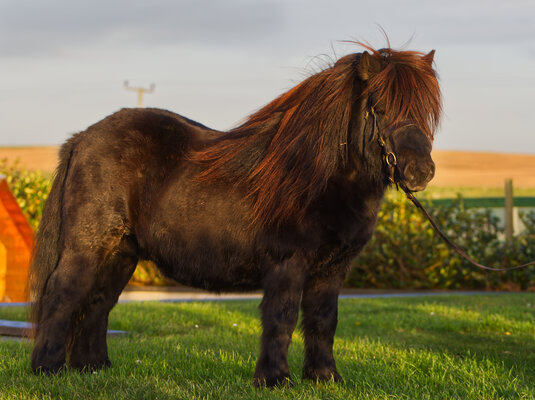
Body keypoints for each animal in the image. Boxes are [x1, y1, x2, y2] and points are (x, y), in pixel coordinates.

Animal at [30, 45, 444, 386]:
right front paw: (275, 379)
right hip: (88, 246)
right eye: (380, 106)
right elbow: (281, 319)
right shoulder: (287, 263)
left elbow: (323, 321)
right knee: (62, 295)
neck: (314, 175)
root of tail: (82, 138)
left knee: (98, 302)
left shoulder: (332, 270)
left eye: (426, 111)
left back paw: (93, 367)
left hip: (121, 253)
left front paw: (325, 377)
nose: (420, 172)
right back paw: (47, 369)